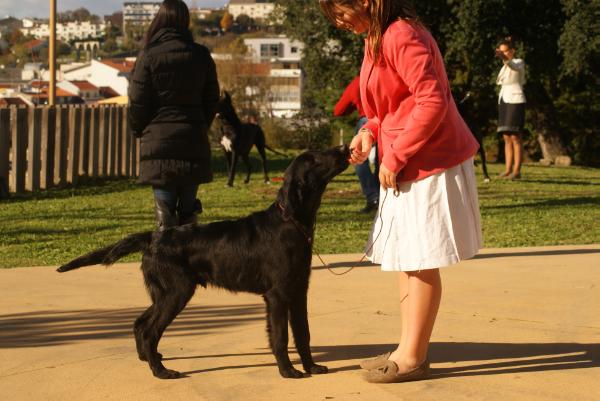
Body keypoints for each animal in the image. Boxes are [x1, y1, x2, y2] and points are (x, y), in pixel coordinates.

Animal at [58, 145, 350, 378]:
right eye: (313, 159)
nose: (343, 147)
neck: (292, 221)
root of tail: (153, 238)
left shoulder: (299, 291)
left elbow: (303, 333)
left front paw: (311, 367)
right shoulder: (277, 294)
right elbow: (280, 337)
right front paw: (288, 372)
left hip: (164, 293)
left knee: (140, 323)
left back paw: (149, 359)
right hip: (176, 292)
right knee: (149, 330)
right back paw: (162, 372)